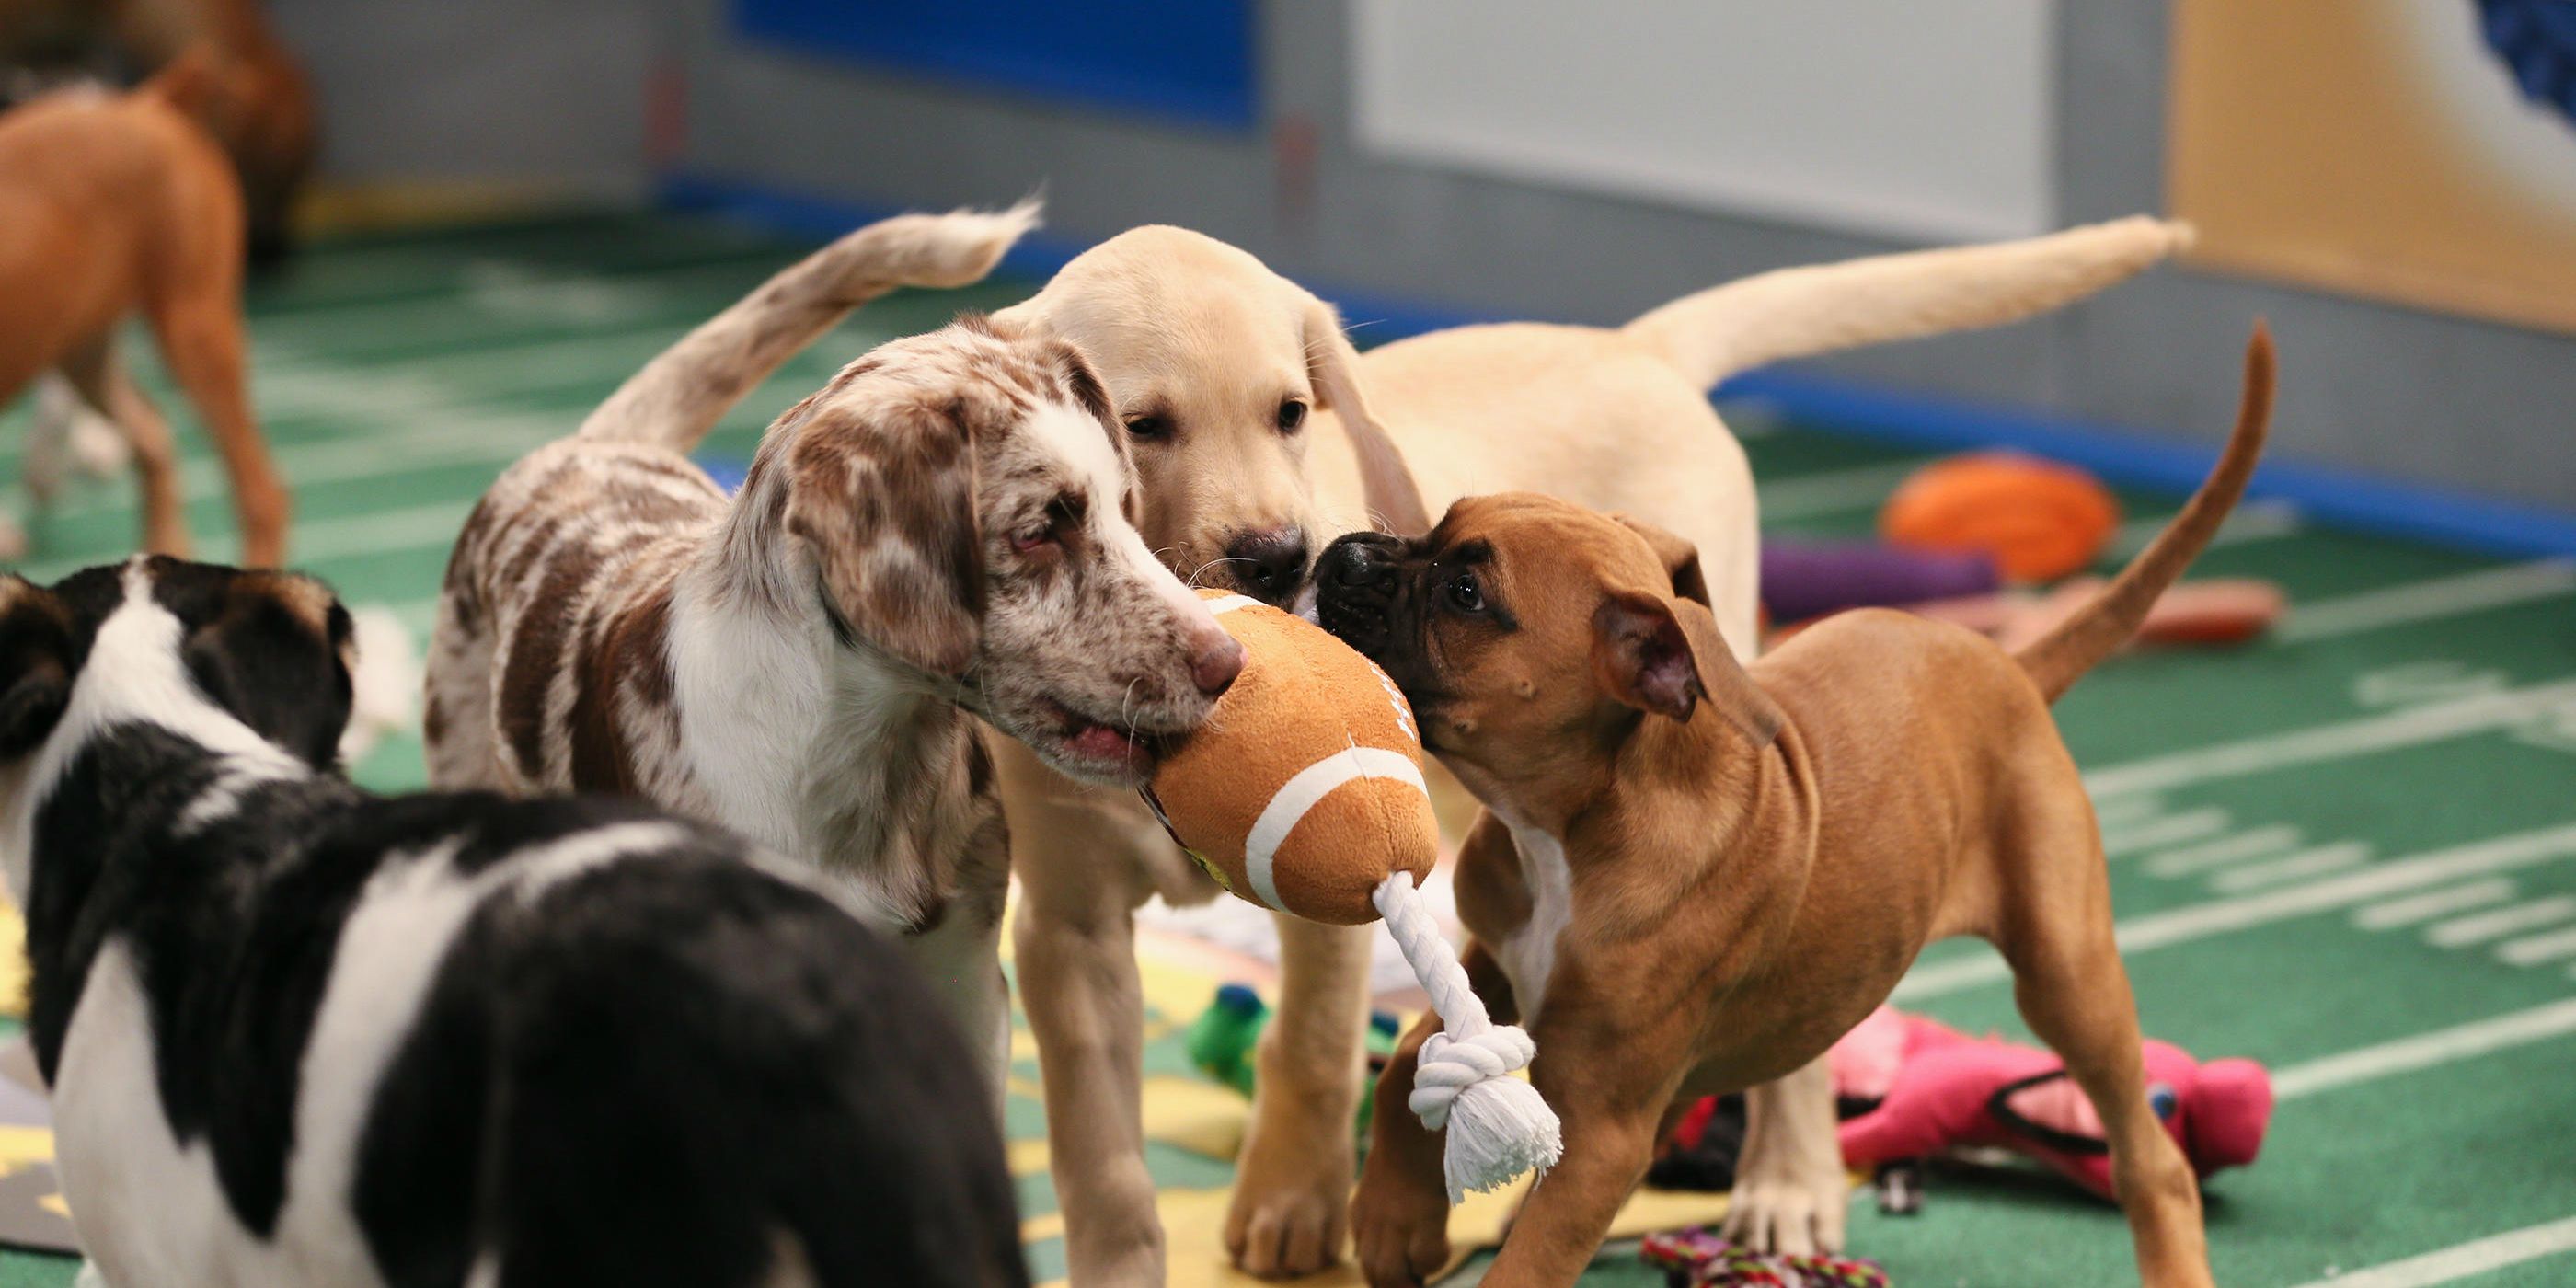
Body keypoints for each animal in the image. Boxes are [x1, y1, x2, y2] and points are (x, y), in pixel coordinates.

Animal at [427, 206, 1241, 1092]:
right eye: (1038, 532)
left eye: (1127, 510)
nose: (1230, 664)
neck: (869, 763)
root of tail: (589, 445)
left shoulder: (965, 981)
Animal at [1328, 324, 2277, 1288]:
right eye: (1429, 530)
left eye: (1466, 595)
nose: (1344, 554)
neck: (1572, 828)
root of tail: (2010, 666)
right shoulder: (1499, 959)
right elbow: (1405, 1062)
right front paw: (1393, 1223)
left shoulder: (1604, 1131)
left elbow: (1530, 1261)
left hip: (2067, 975)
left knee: (2150, 1158)